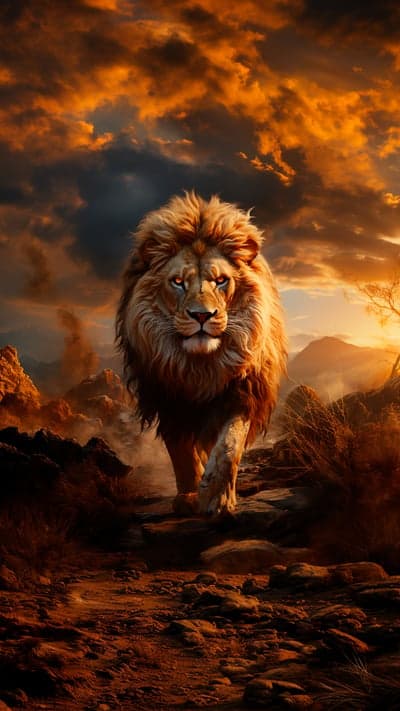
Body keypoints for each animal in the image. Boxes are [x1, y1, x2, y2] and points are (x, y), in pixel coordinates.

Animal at [116, 192, 287, 515]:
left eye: (221, 281)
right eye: (178, 282)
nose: (202, 316)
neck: (200, 365)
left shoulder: (242, 391)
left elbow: (228, 445)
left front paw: (217, 498)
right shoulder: (167, 397)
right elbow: (180, 450)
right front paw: (189, 496)